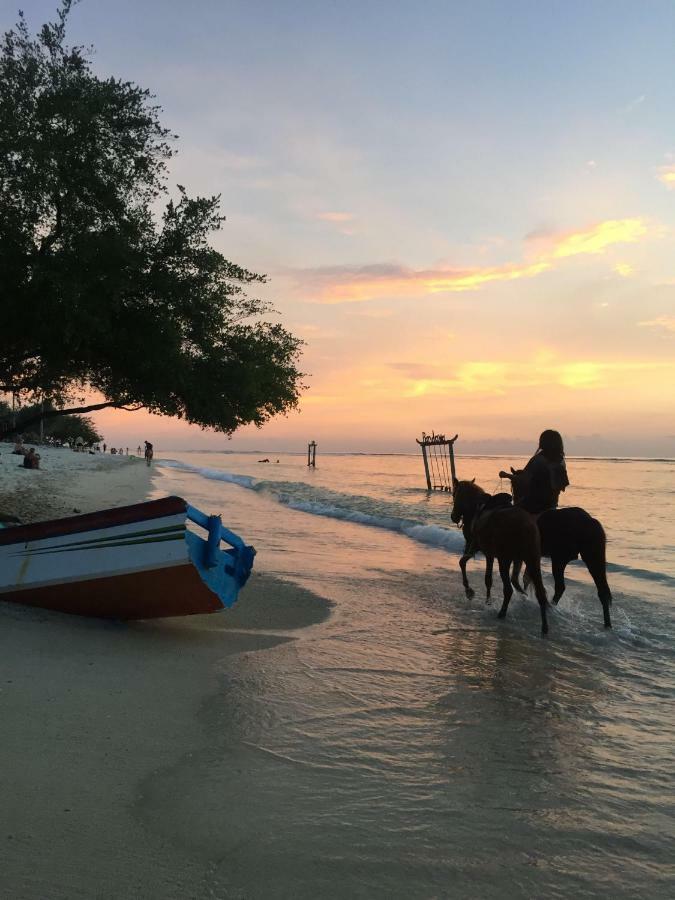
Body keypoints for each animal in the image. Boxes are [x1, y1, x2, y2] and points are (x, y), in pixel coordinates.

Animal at [452, 478, 552, 632]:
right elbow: (487, 578)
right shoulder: (490, 554)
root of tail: (526, 525)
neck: (477, 509)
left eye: (454, 494)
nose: (453, 517)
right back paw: (544, 626)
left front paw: (470, 592)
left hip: (505, 560)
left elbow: (464, 564)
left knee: (509, 589)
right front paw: (486, 600)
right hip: (532, 560)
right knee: (540, 593)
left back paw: (502, 613)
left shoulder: (477, 548)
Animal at [500, 468, 616, 628]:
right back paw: (607, 624)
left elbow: (518, 579)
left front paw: (527, 595)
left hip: (559, 559)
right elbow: (526, 578)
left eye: (513, 484)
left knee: (560, 587)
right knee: (602, 590)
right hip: (593, 557)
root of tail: (588, 521)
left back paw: (550, 606)